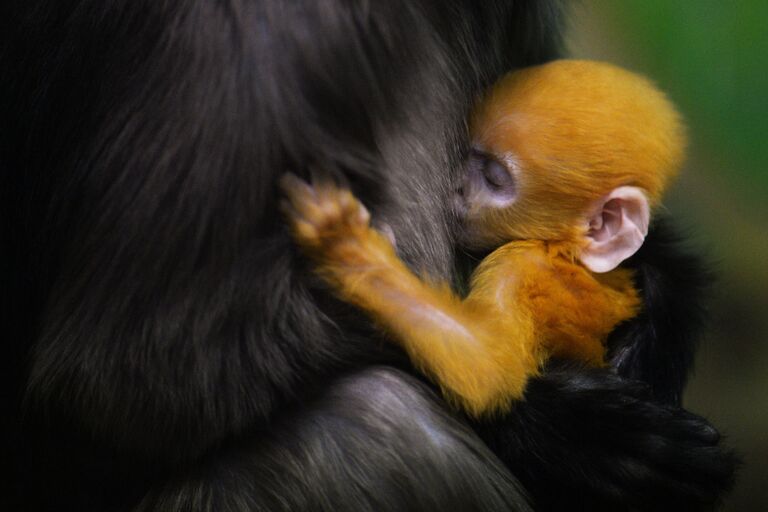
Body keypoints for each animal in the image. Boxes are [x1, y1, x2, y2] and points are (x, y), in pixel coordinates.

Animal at [280, 60, 684, 416]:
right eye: (467, 152)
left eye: (492, 177)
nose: (456, 186)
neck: (563, 250)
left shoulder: (522, 267)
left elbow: (487, 364)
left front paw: (345, 243)